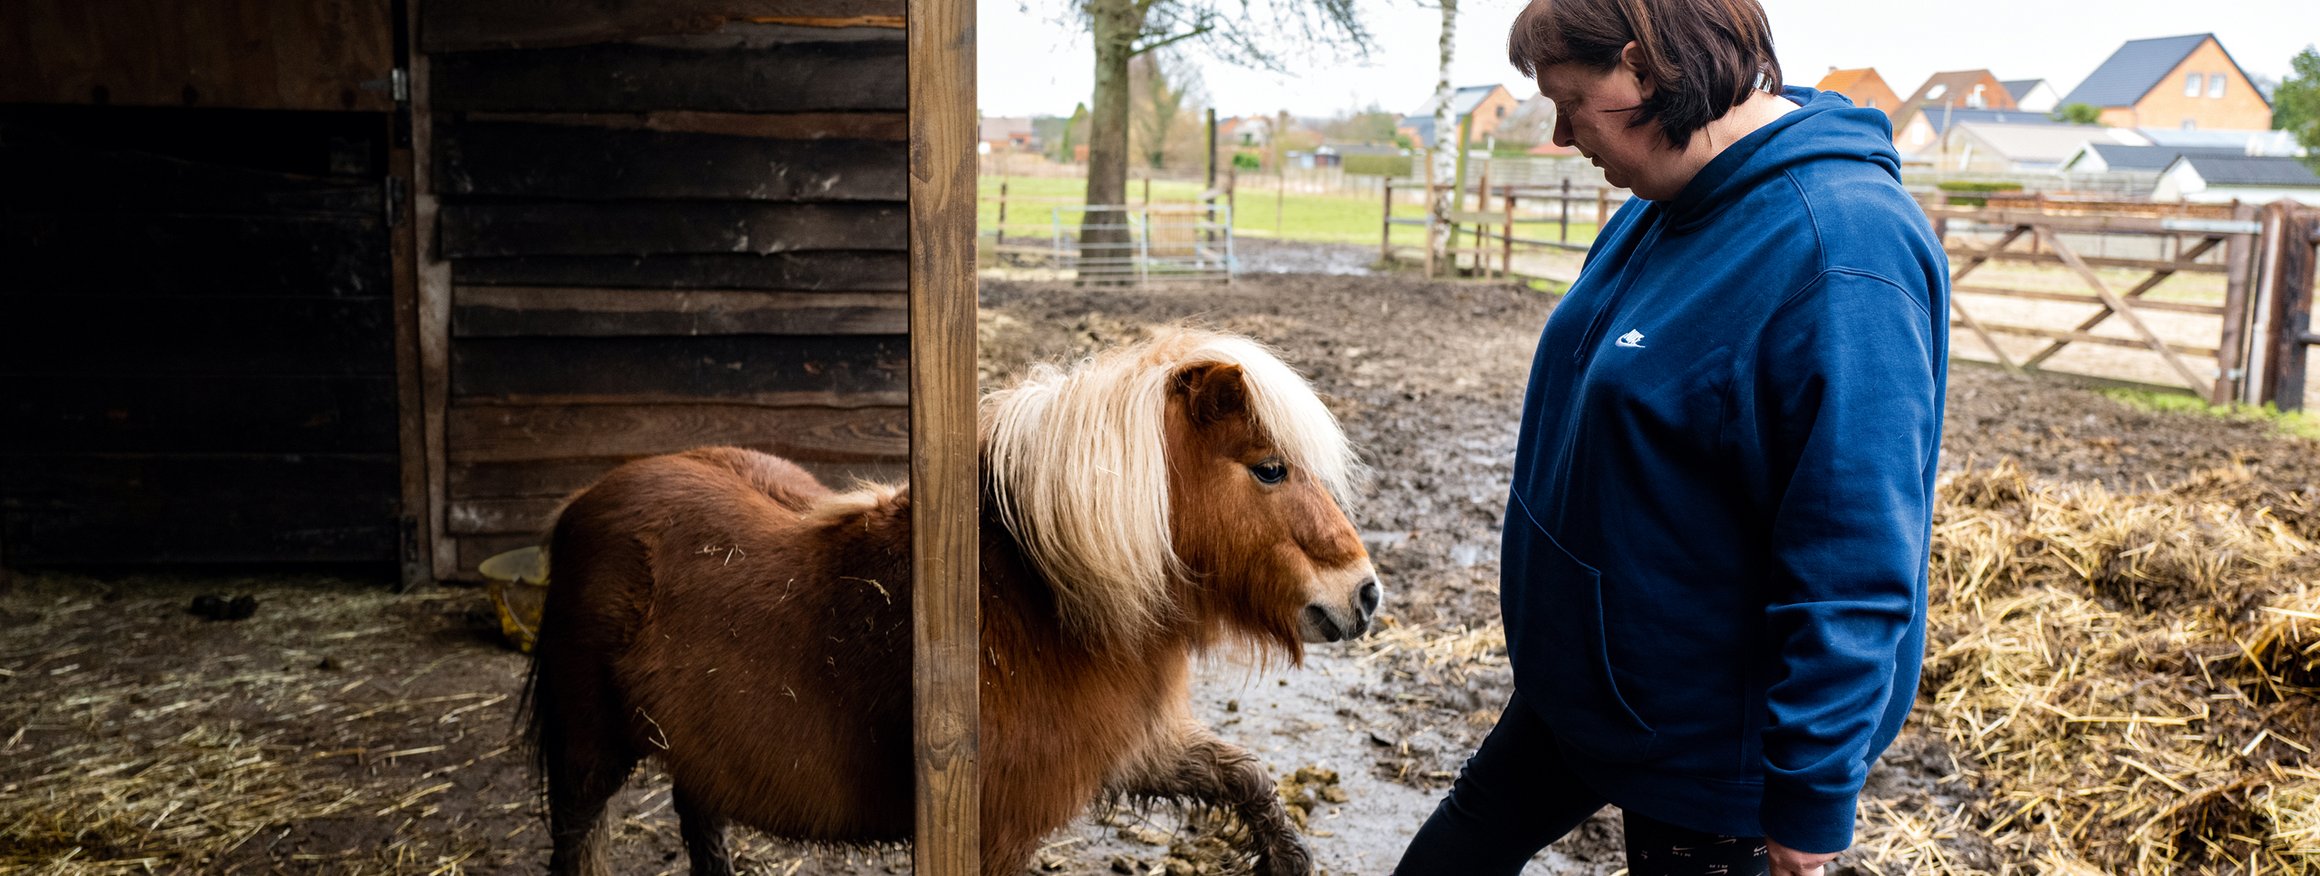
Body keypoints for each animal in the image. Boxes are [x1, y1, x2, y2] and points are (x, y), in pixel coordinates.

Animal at [522, 324, 1373, 871]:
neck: (1037, 602)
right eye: (1269, 469)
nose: (1364, 596)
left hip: (690, 748)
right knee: (578, 843)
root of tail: (582, 502)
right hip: (589, 754)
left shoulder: (1132, 752)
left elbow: (1249, 783)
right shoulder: (991, 830)